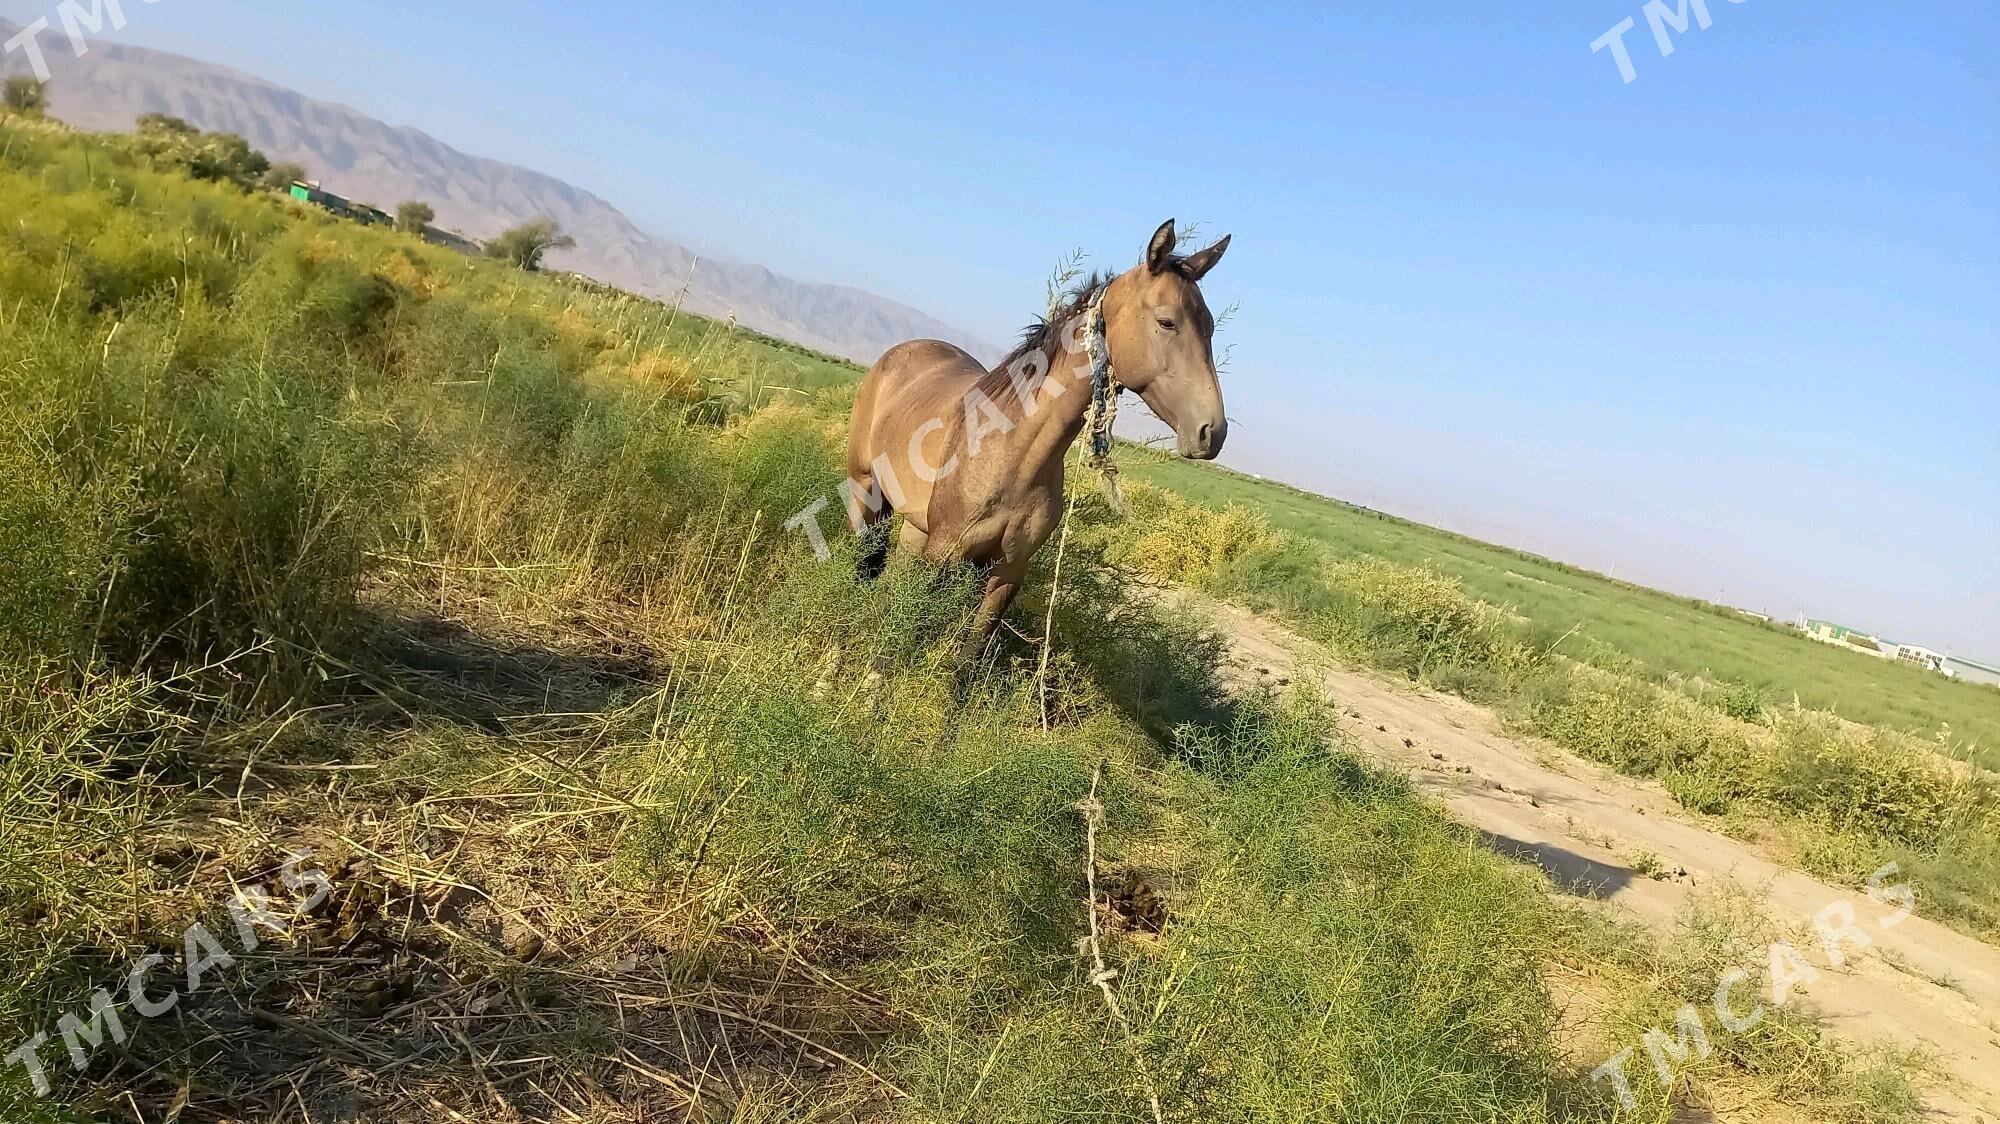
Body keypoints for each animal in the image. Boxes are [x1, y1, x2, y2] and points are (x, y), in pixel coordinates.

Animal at [844, 219, 1232, 648]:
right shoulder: (943, 554)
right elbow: (909, 632)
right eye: (1167, 321)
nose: (1212, 433)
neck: (1013, 452)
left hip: (913, 526)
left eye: (1210, 327)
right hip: (866, 490)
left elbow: (972, 649)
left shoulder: (1007, 572)